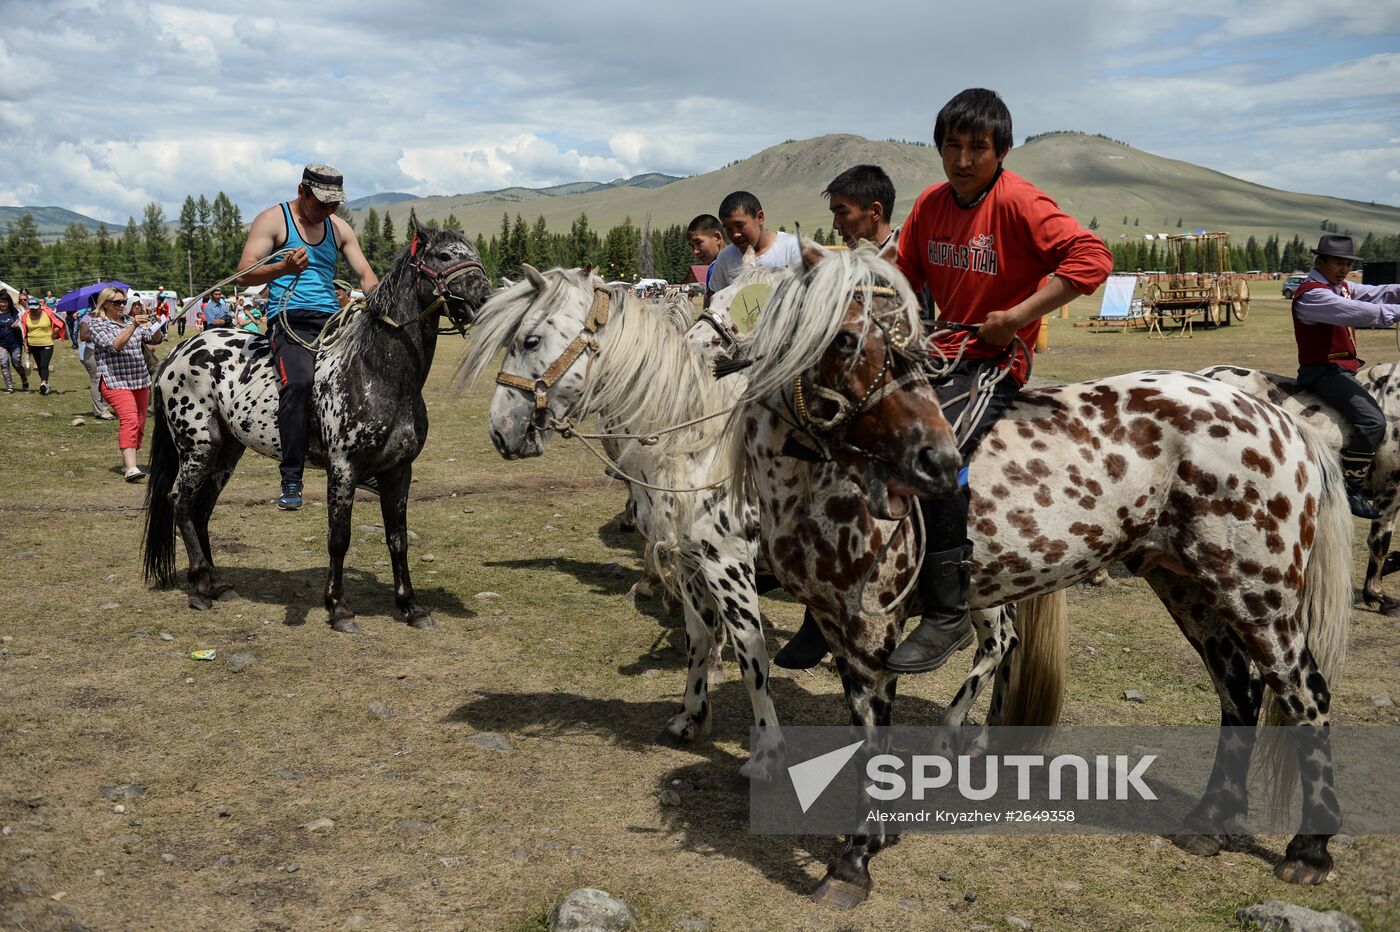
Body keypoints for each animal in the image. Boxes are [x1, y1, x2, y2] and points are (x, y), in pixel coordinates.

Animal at [142, 223, 492, 632]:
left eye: (474, 255)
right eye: (443, 256)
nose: (486, 301)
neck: (378, 374)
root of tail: (174, 355)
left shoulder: (399, 471)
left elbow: (398, 539)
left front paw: (411, 606)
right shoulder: (342, 470)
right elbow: (338, 538)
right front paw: (338, 607)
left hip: (226, 450)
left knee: (201, 509)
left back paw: (216, 584)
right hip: (197, 447)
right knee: (180, 502)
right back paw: (198, 587)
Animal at [733, 243, 1355, 901]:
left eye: (916, 344)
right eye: (848, 340)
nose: (938, 461)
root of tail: (1279, 419)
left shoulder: (869, 633)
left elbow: (873, 745)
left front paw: (853, 860)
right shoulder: (834, 624)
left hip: (1261, 597)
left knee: (1305, 695)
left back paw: (1309, 848)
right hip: (1188, 587)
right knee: (1239, 690)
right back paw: (1211, 819)